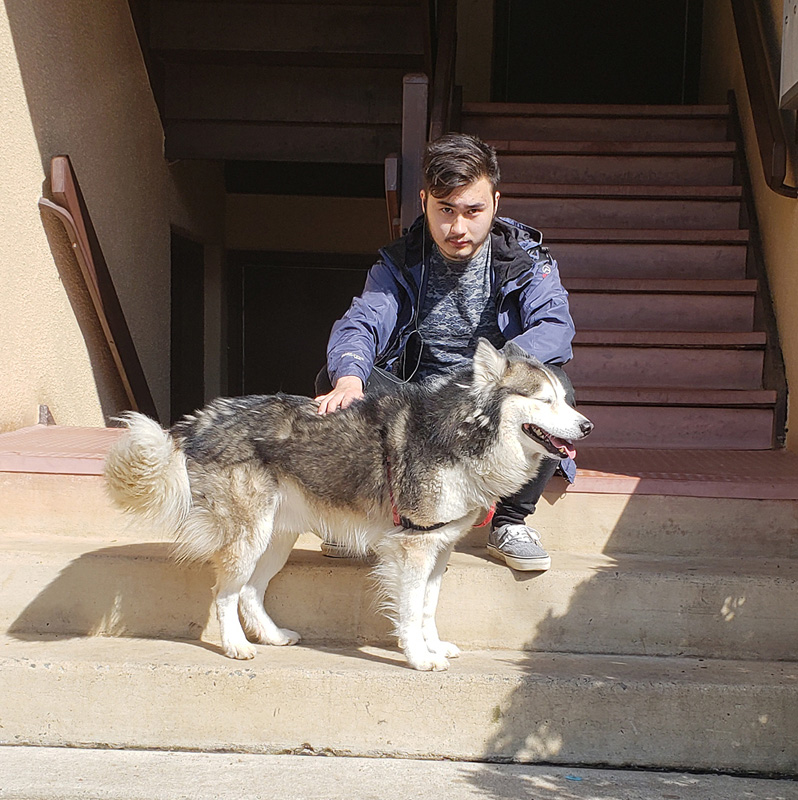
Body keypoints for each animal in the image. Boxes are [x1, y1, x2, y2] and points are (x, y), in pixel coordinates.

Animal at [104, 340, 592, 672]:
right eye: (545, 400)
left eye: (566, 400)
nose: (587, 426)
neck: (464, 432)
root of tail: (201, 420)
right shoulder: (412, 549)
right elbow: (410, 610)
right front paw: (419, 657)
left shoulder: (439, 549)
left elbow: (428, 607)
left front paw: (433, 646)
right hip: (250, 536)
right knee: (225, 594)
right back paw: (236, 646)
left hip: (275, 540)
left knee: (250, 591)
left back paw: (272, 636)